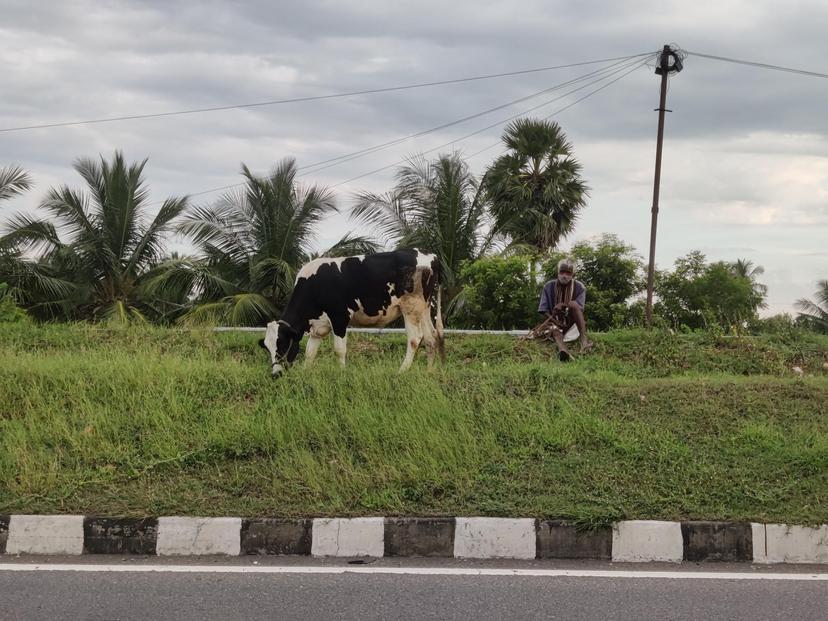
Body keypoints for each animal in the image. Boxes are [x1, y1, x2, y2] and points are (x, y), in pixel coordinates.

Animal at [260, 248, 446, 376]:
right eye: (267, 348)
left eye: (282, 344)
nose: (275, 374)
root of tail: (430, 255)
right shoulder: (317, 327)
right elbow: (309, 353)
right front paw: (306, 374)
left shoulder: (339, 317)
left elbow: (339, 350)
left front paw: (342, 373)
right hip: (424, 308)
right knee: (431, 337)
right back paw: (429, 372)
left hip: (410, 307)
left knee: (415, 338)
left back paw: (401, 371)